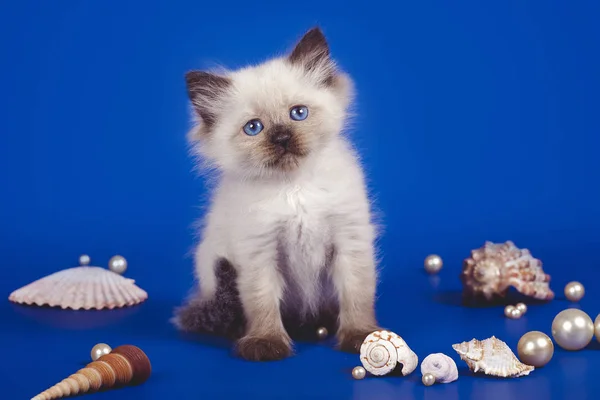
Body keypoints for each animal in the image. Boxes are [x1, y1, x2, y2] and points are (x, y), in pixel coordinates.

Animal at [171, 26, 382, 360]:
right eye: (254, 128)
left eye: (298, 113)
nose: (282, 137)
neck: (294, 187)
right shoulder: (259, 252)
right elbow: (262, 302)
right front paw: (265, 342)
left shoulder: (349, 240)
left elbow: (356, 294)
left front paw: (362, 337)